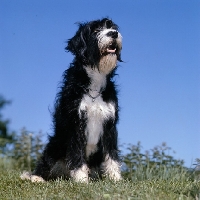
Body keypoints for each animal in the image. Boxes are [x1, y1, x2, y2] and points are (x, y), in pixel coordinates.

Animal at [21, 17, 122, 183]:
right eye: (95, 30)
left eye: (112, 27)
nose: (113, 33)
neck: (94, 84)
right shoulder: (76, 123)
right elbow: (77, 153)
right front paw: (81, 179)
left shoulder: (110, 125)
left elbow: (111, 154)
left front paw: (115, 178)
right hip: (56, 144)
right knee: (46, 161)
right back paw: (36, 177)